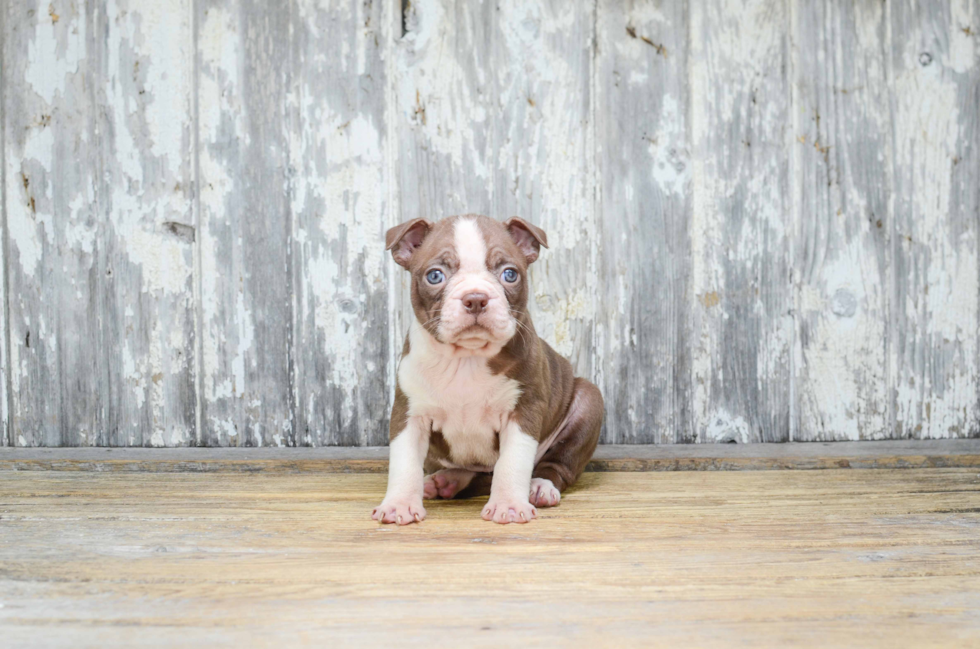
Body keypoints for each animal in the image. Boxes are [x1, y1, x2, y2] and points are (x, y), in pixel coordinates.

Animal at [374, 215, 604, 524]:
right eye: (434, 276)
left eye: (510, 274)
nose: (475, 298)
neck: (466, 358)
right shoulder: (410, 413)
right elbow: (405, 462)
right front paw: (399, 505)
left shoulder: (523, 411)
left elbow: (512, 463)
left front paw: (508, 505)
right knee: (479, 475)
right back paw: (446, 480)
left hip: (589, 401)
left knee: (556, 465)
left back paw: (539, 487)